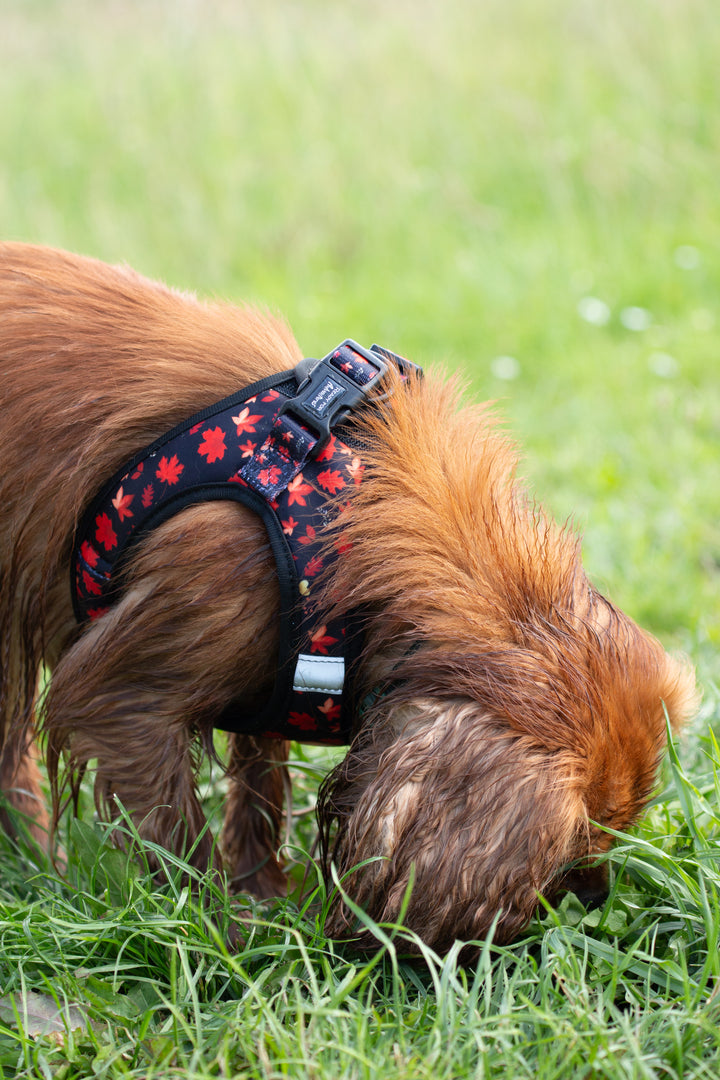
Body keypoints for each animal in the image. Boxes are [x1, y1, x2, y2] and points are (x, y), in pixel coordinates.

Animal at [0, 243, 699, 946]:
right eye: (576, 852)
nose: (598, 895)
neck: (349, 519)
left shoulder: (276, 669)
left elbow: (259, 789)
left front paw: (262, 893)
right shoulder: (131, 697)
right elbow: (181, 846)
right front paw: (229, 939)